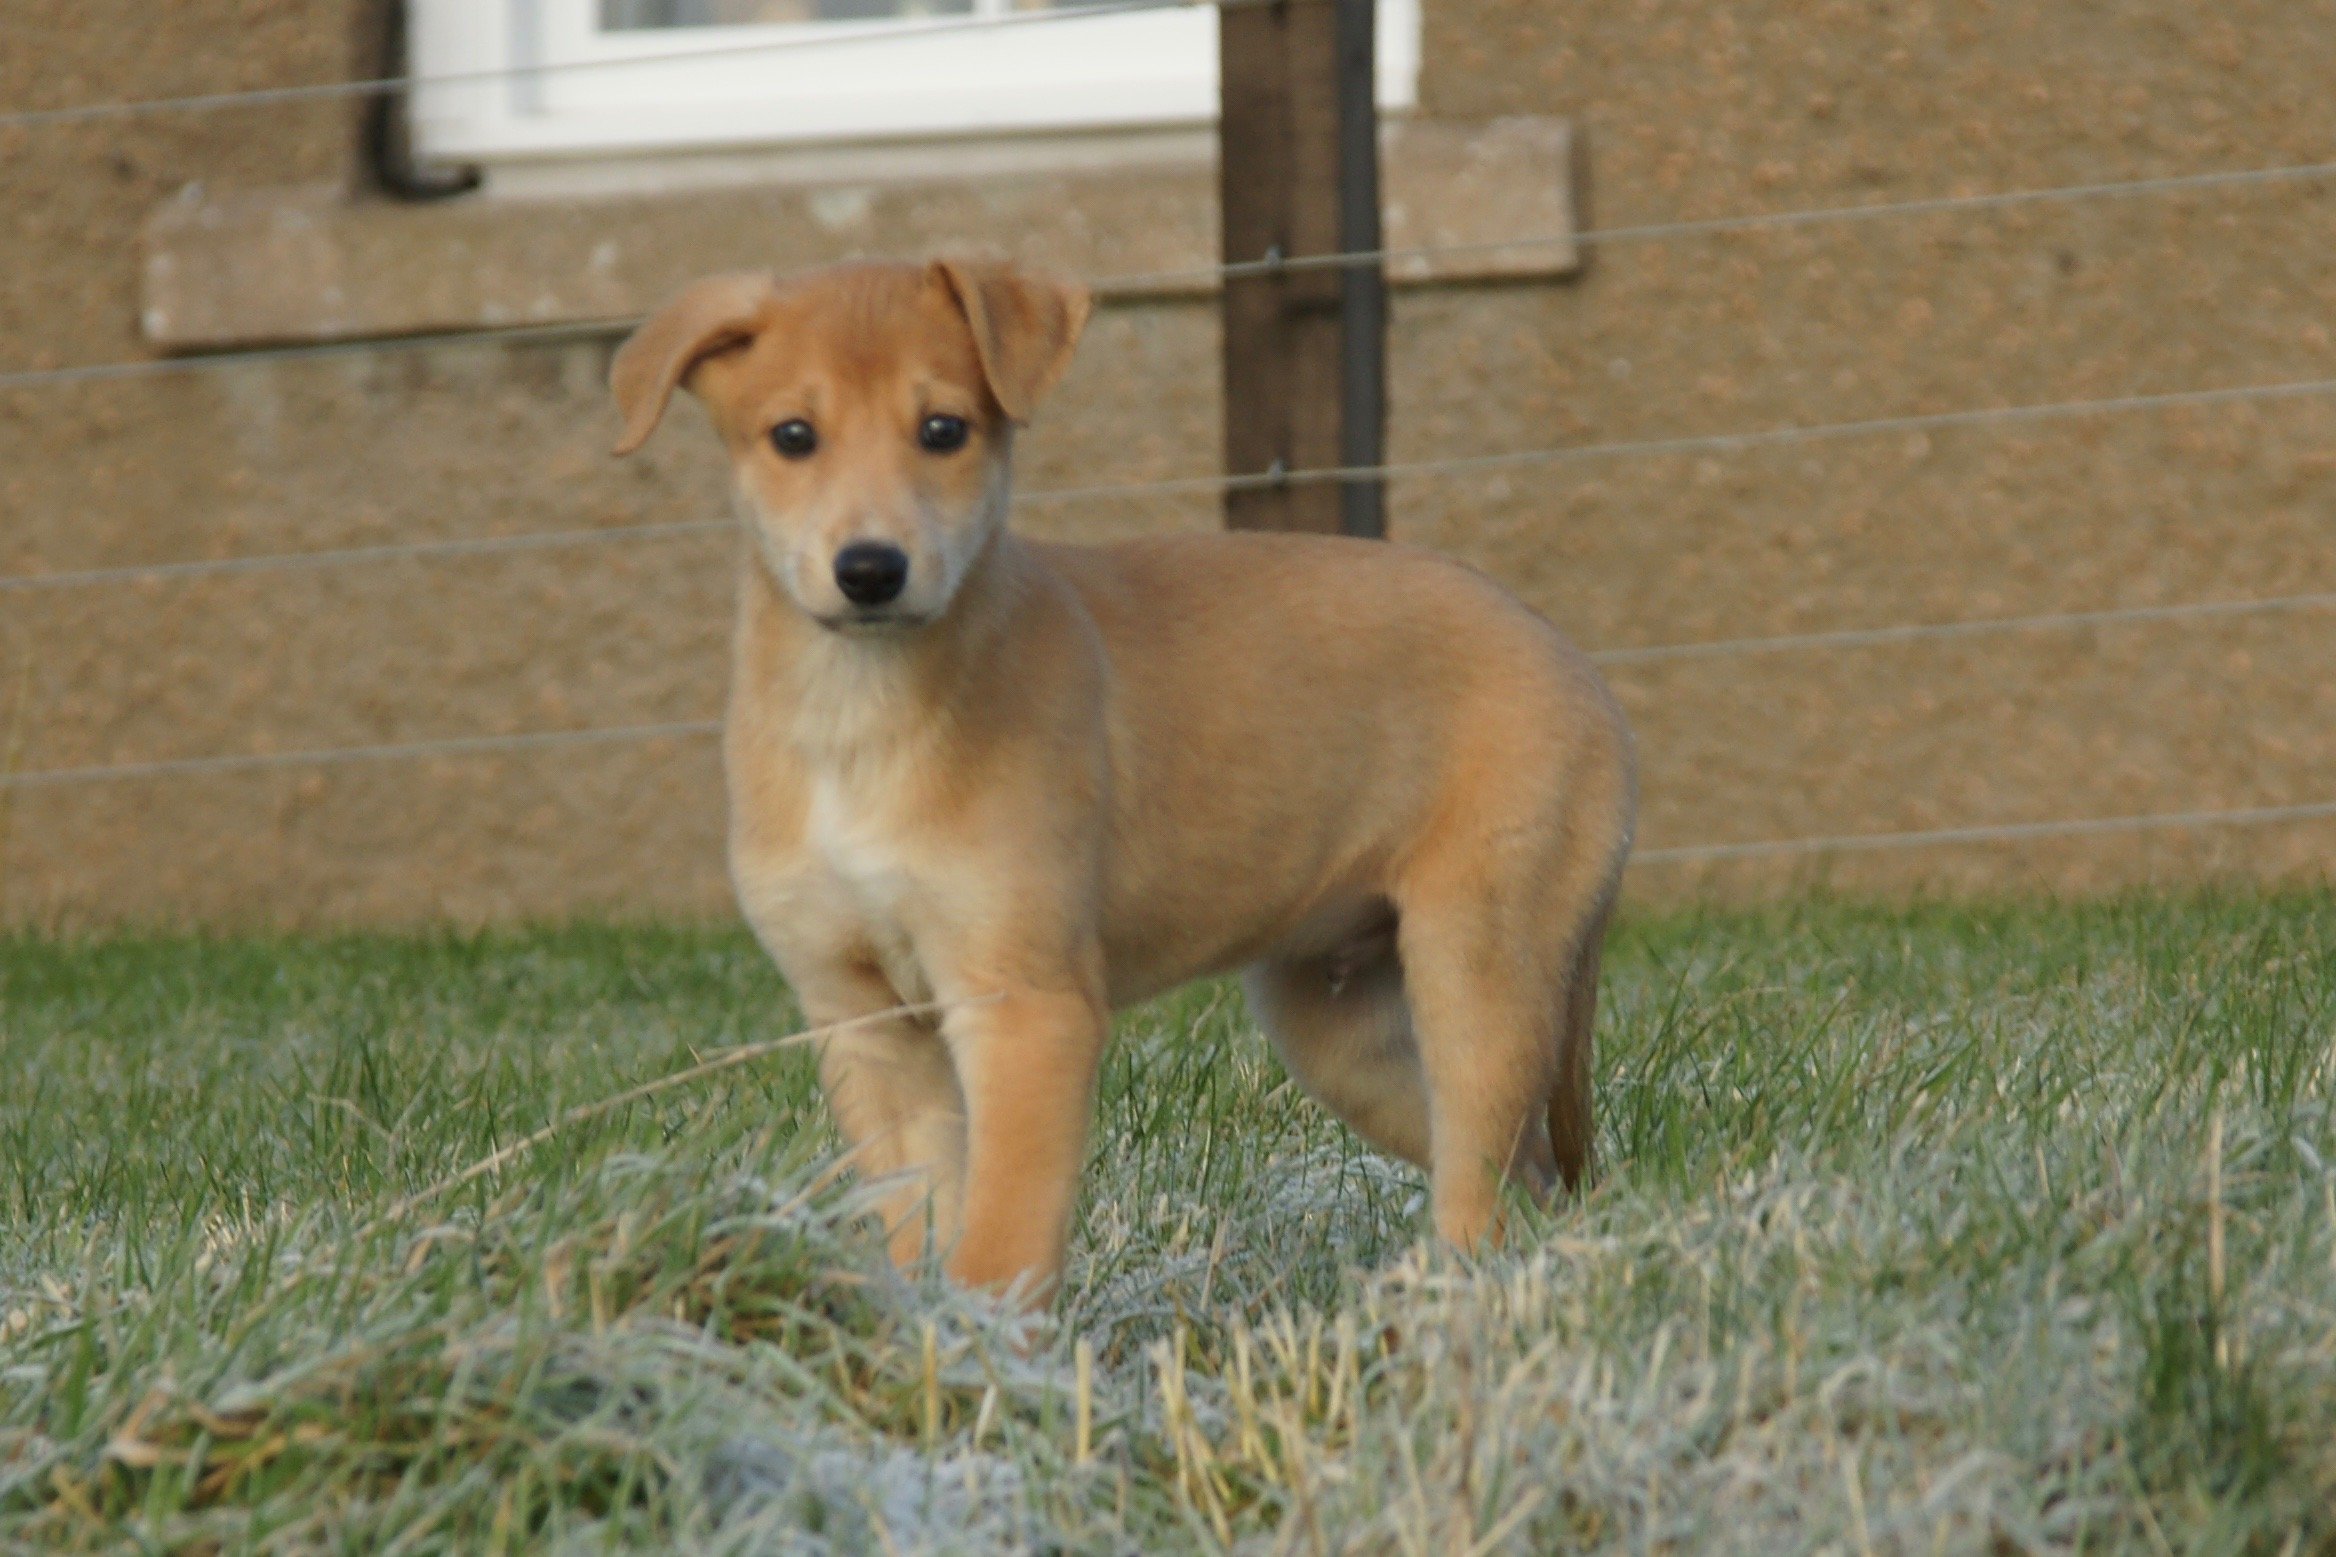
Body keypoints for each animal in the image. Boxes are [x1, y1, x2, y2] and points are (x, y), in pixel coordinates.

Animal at [612, 264, 1635, 1307]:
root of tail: (1571, 658)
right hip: (1349, 1036)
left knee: (1485, 1182)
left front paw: (986, 1344)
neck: (862, 718)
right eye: (792, 436)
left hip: (1479, 970)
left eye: (943, 429)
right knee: (1531, 1183)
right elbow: (920, 1216)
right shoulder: (861, 1018)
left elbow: (1002, 1237)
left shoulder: (1027, 1005)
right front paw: (914, 1331)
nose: (870, 570)